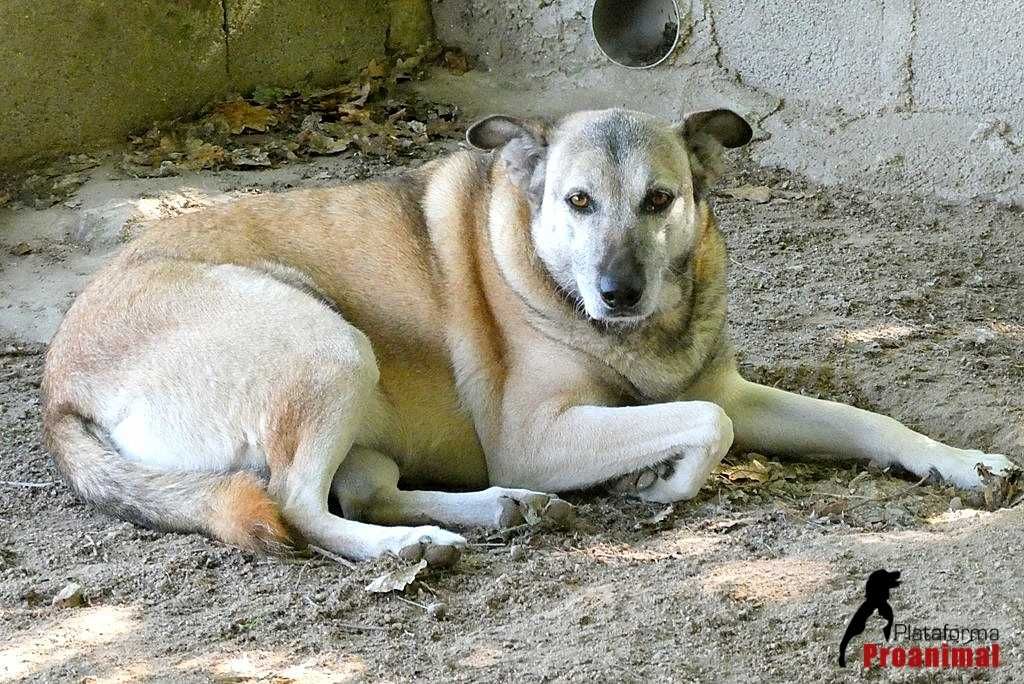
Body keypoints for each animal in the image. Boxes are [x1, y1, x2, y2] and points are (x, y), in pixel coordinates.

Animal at [37, 108, 1007, 565]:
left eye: (660, 199)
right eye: (578, 201)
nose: (618, 292)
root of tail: (56, 383)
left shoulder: (729, 388)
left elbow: (861, 421)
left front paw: (959, 461)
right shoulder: (538, 435)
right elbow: (711, 427)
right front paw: (663, 480)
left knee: (364, 488)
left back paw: (500, 511)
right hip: (329, 345)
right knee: (299, 504)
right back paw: (409, 549)